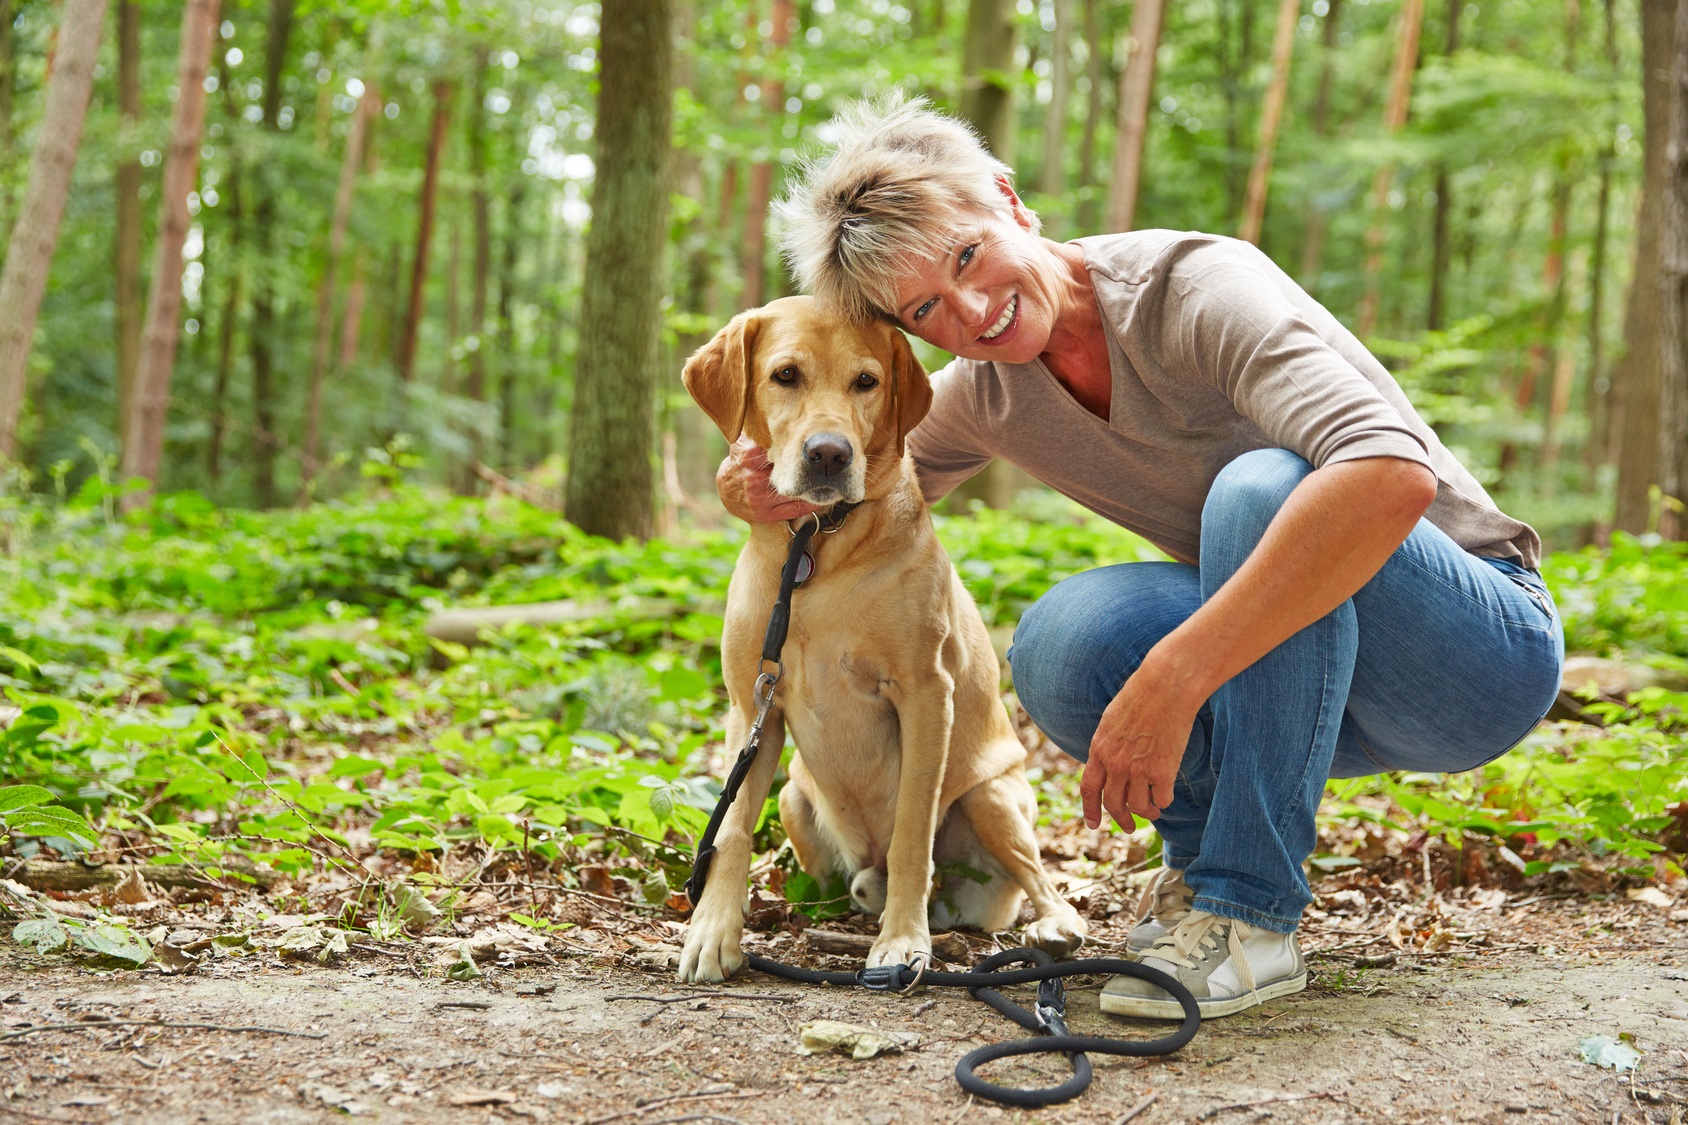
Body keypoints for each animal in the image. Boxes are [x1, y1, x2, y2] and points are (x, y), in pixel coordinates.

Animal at [678, 293, 1087, 979]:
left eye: (866, 382)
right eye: (785, 375)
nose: (829, 454)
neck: (816, 547)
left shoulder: (925, 694)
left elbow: (912, 834)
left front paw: (901, 941)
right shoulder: (751, 704)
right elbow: (731, 828)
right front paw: (712, 932)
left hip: (992, 799)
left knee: (1036, 878)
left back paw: (1051, 923)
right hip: (794, 798)